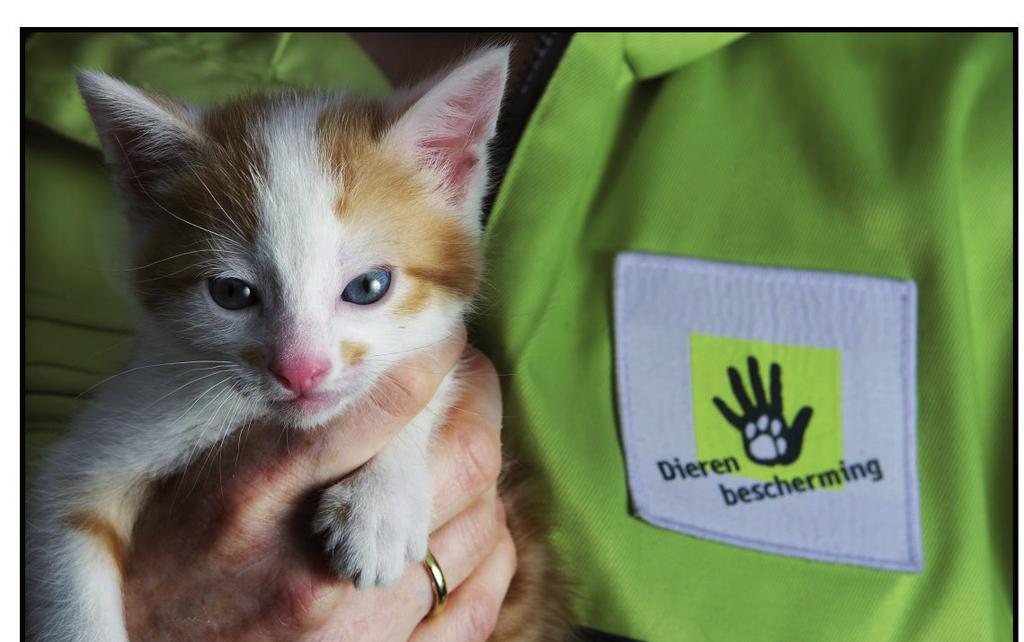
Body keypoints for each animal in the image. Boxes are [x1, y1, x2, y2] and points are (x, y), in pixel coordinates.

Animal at [25, 47, 569, 638]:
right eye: (231, 293)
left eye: (369, 286)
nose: (300, 370)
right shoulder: (95, 454)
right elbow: (68, 561)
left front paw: (381, 500)